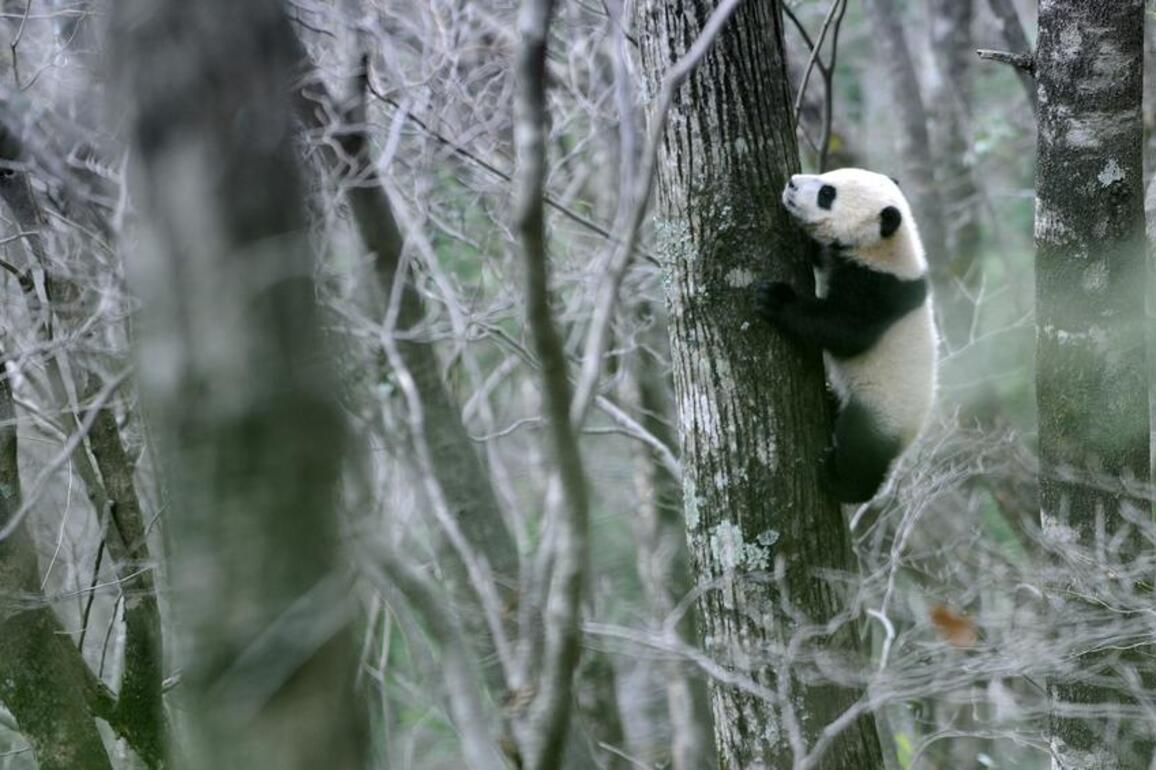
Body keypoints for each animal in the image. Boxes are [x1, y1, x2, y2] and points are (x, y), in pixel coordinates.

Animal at [756, 168, 938, 503]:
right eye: (827, 175)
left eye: (827, 194)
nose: (791, 182)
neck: (886, 246)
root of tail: (908, 441)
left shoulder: (880, 292)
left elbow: (844, 331)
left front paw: (776, 300)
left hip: (880, 410)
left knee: (860, 450)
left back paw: (840, 482)